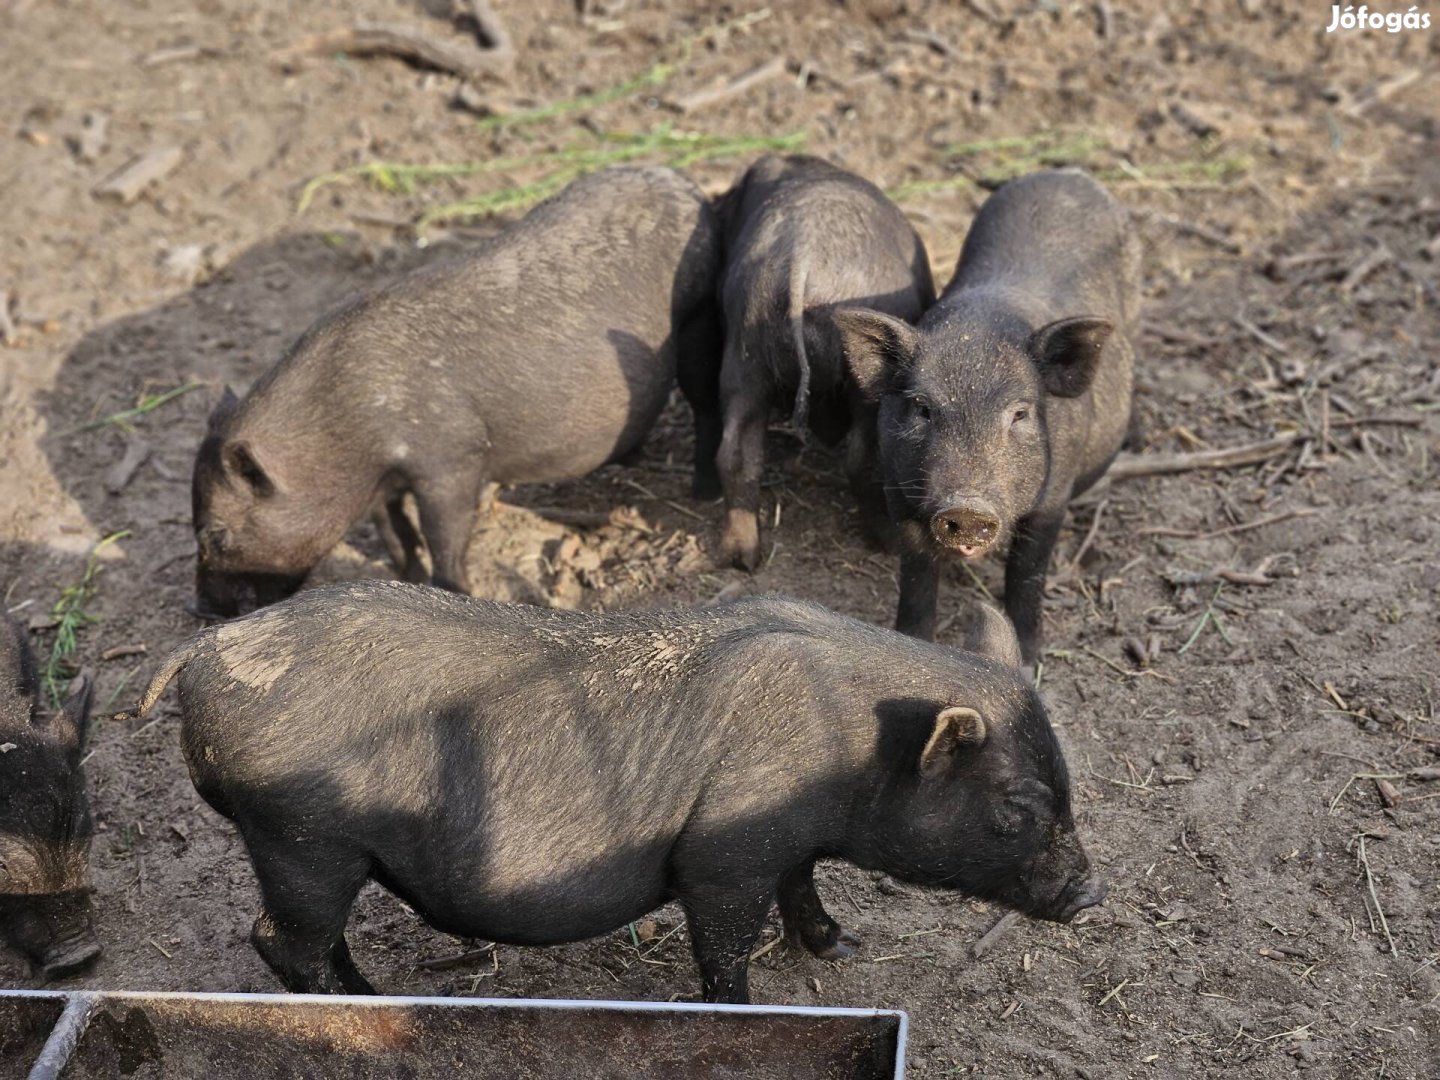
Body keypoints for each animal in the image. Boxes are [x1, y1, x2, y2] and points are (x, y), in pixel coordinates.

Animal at [135, 584, 1100, 1008]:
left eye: (1067, 787)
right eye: (1015, 810)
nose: (1092, 892)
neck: (853, 750)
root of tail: (205, 650)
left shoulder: (784, 845)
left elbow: (805, 884)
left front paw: (840, 947)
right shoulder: (725, 857)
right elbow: (725, 948)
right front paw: (746, 1012)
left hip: (318, 851)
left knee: (314, 938)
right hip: (300, 839)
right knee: (277, 938)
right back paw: (358, 1009)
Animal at [702, 157, 938, 576]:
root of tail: (801, 262)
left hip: (744, 358)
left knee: (735, 452)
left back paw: (742, 559)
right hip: (863, 383)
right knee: (861, 459)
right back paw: (888, 545)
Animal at [835, 169, 1134, 665]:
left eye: (1020, 413)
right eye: (923, 408)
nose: (967, 507)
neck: (978, 329)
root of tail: (1067, 173)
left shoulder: (1054, 495)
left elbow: (1026, 575)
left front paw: (1029, 660)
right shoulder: (902, 491)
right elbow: (917, 578)